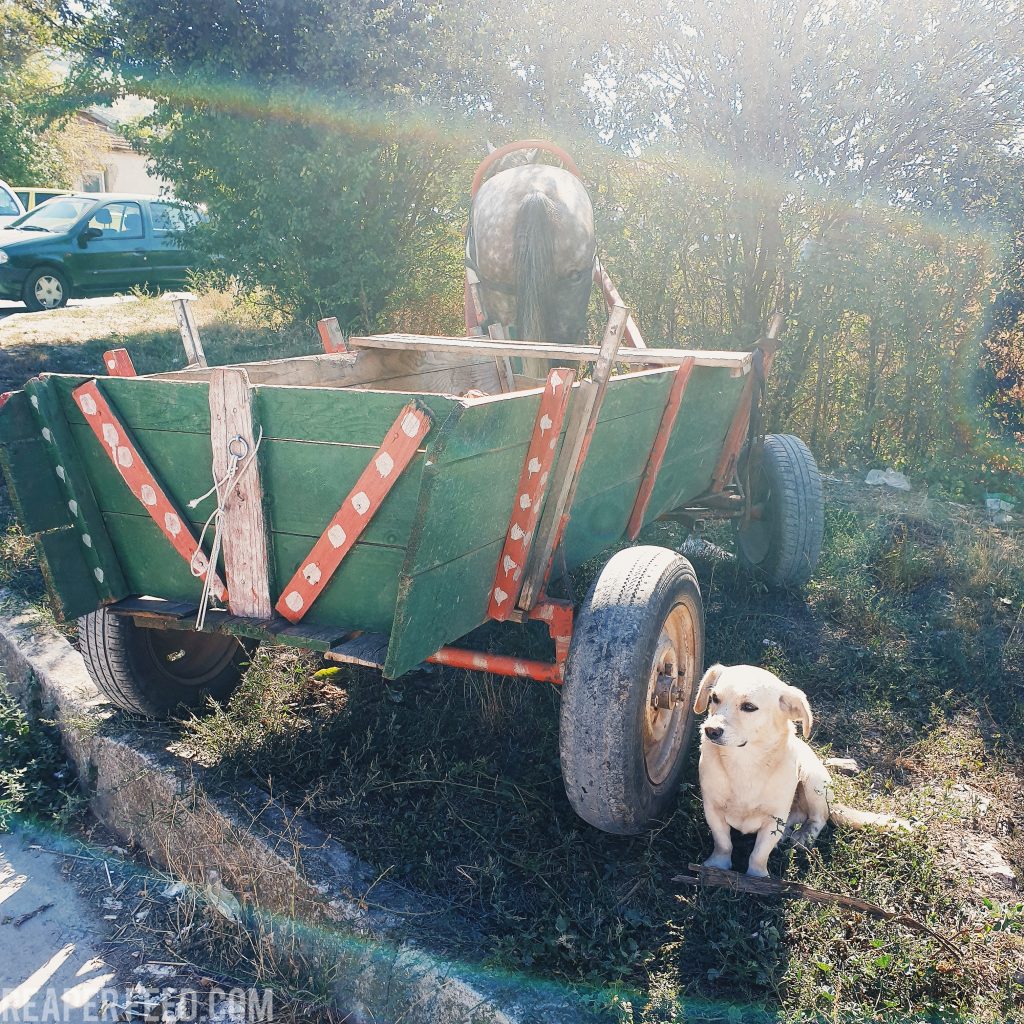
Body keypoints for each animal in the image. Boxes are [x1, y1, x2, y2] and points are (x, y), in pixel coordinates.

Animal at [696, 667, 905, 876]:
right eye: (714, 698)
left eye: (748, 707)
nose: (710, 730)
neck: (745, 762)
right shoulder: (712, 810)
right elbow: (723, 843)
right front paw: (717, 865)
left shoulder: (775, 818)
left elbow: (759, 854)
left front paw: (757, 876)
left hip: (813, 781)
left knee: (819, 818)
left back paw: (804, 837)